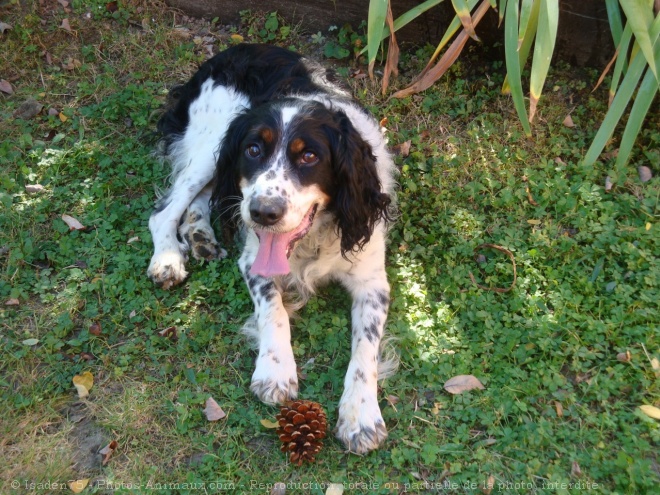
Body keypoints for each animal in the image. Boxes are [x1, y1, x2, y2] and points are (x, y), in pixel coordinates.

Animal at [148, 44, 398, 456]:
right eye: (253, 149)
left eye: (309, 156)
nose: (263, 212)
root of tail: (230, 50)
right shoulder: (254, 261)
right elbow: (274, 311)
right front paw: (276, 370)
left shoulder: (372, 281)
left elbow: (366, 349)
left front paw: (361, 416)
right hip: (211, 145)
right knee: (165, 211)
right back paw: (168, 257)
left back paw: (200, 236)